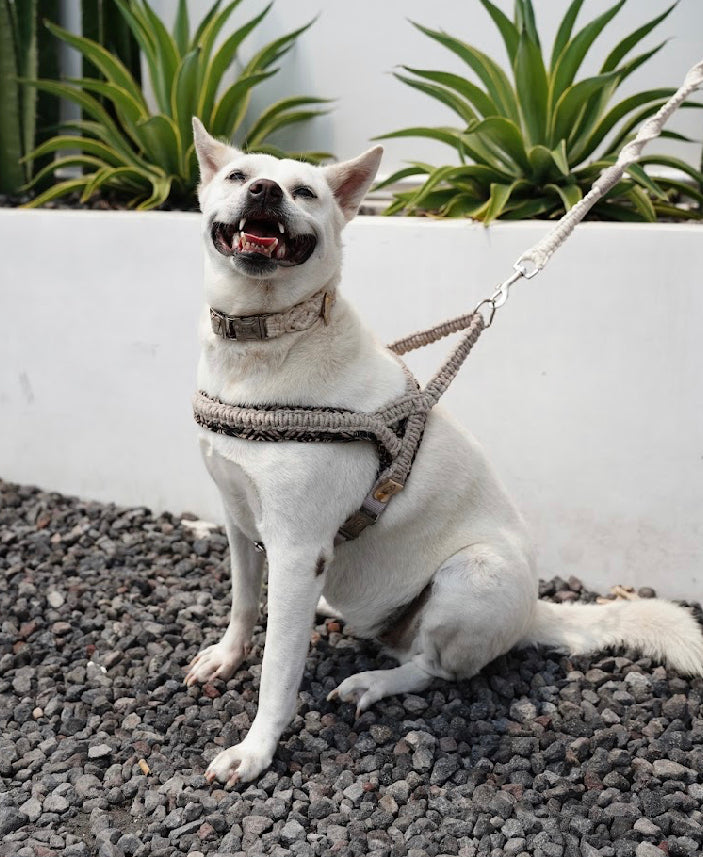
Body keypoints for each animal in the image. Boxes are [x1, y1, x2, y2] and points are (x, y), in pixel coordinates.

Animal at [184, 117, 700, 784]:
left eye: (304, 193)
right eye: (237, 176)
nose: (266, 191)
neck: (265, 345)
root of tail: (533, 613)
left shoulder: (297, 548)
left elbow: (278, 671)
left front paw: (255, 750)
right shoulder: (239, 518)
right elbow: (245, 603)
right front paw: (227, 657)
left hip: (472, 576)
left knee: (435, 669)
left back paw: (373, 682)